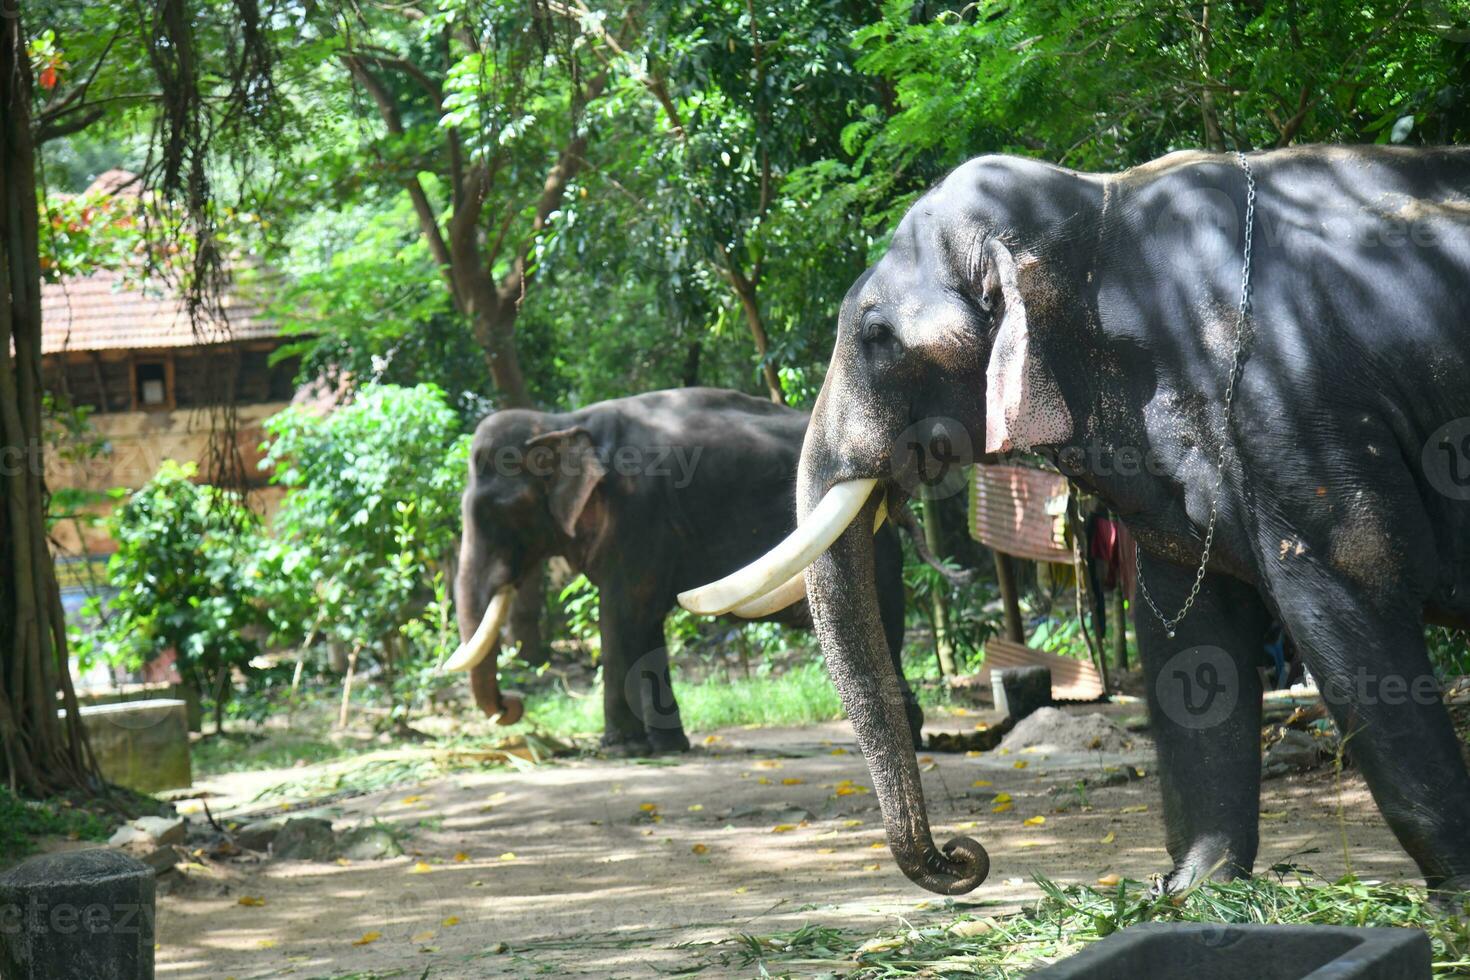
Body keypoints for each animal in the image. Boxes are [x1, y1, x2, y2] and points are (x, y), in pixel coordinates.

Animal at [446, 387, 923, 758]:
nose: (512, 706)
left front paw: (622, 750)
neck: (561, 422)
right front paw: (667, 747)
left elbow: (620, 618)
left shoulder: (637, 513)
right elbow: (644, 624)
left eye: (496, 512)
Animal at [685, 143, 1470, 899]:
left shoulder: (1292, 410)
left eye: (877, 334)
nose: (966, 856)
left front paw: (1453, 899)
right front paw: (1191, 890)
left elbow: (1349, 591)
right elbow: (1188, 630)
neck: (1096, 202)